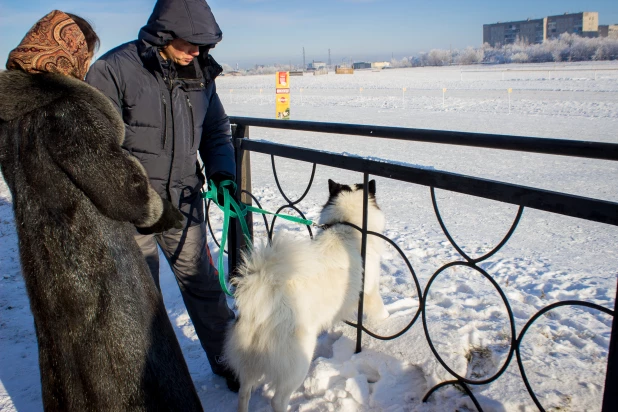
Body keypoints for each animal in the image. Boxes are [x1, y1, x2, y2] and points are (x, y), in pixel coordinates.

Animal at [223, 180, 384, 412]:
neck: (346, 225)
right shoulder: (370, 290)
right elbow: (380, 309)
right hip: (298, 361)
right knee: (277, 400)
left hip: (248, 362)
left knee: (244, 392)